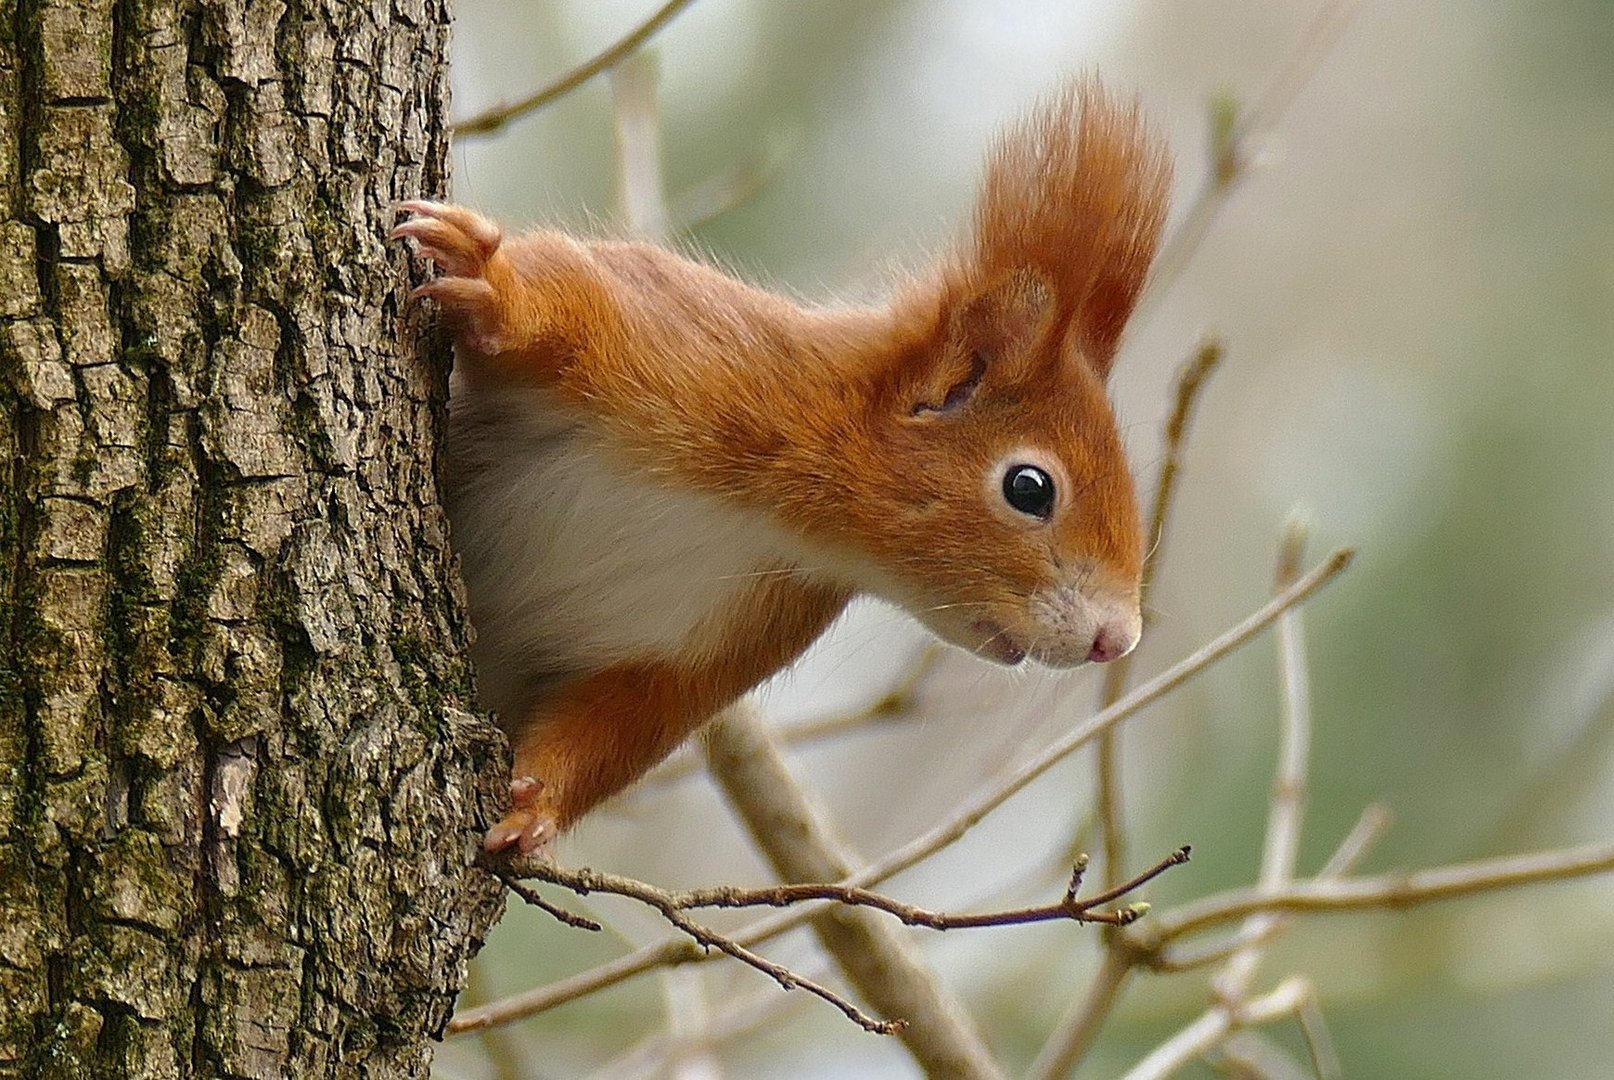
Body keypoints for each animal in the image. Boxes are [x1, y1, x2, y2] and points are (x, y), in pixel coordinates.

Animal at [393, 77, 1174, 852]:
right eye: (1029, 487)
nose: (1117, 640)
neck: (779, 516)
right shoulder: (684, 342)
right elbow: (563, 301)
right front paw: (493, 285)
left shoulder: (700, 652)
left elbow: (617, 723)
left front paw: (536, 810)